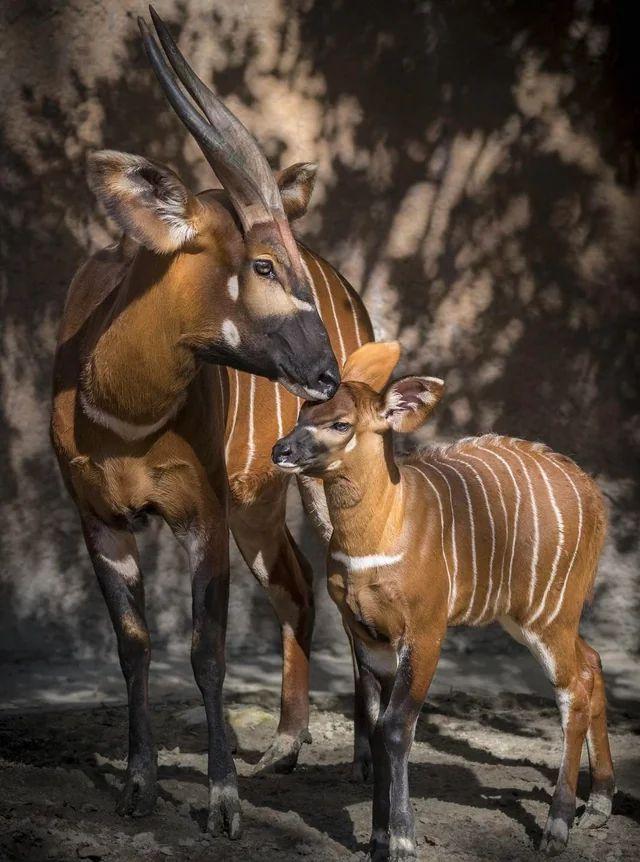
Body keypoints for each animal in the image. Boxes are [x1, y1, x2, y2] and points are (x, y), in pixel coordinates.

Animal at [53, 8, 372, 836]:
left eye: (282, 262)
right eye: (261, 264)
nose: (328, 379)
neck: (123, 413)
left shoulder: (203, 517)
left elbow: (207, 653)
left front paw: (223, 803)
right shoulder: (100, 517)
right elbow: (135, 646)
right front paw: (137, 786)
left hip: (314, 491)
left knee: (344, 584)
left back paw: (360, 754)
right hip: (260, 507)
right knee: (298, 584)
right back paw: (285, 748)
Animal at [274, 342, 616, 862]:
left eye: (340, 423)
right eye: (301, 413)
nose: (281, 450)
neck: (380, 533)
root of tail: (594, 495)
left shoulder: (426, 631)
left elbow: (397, 727)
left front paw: (402, 841)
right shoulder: (367, 636)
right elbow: (375, 724)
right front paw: (379, 840)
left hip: (549, 615)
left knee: (574, 686)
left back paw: (557, 827)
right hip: (533, 617)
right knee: (593, 662)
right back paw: (599, 803)